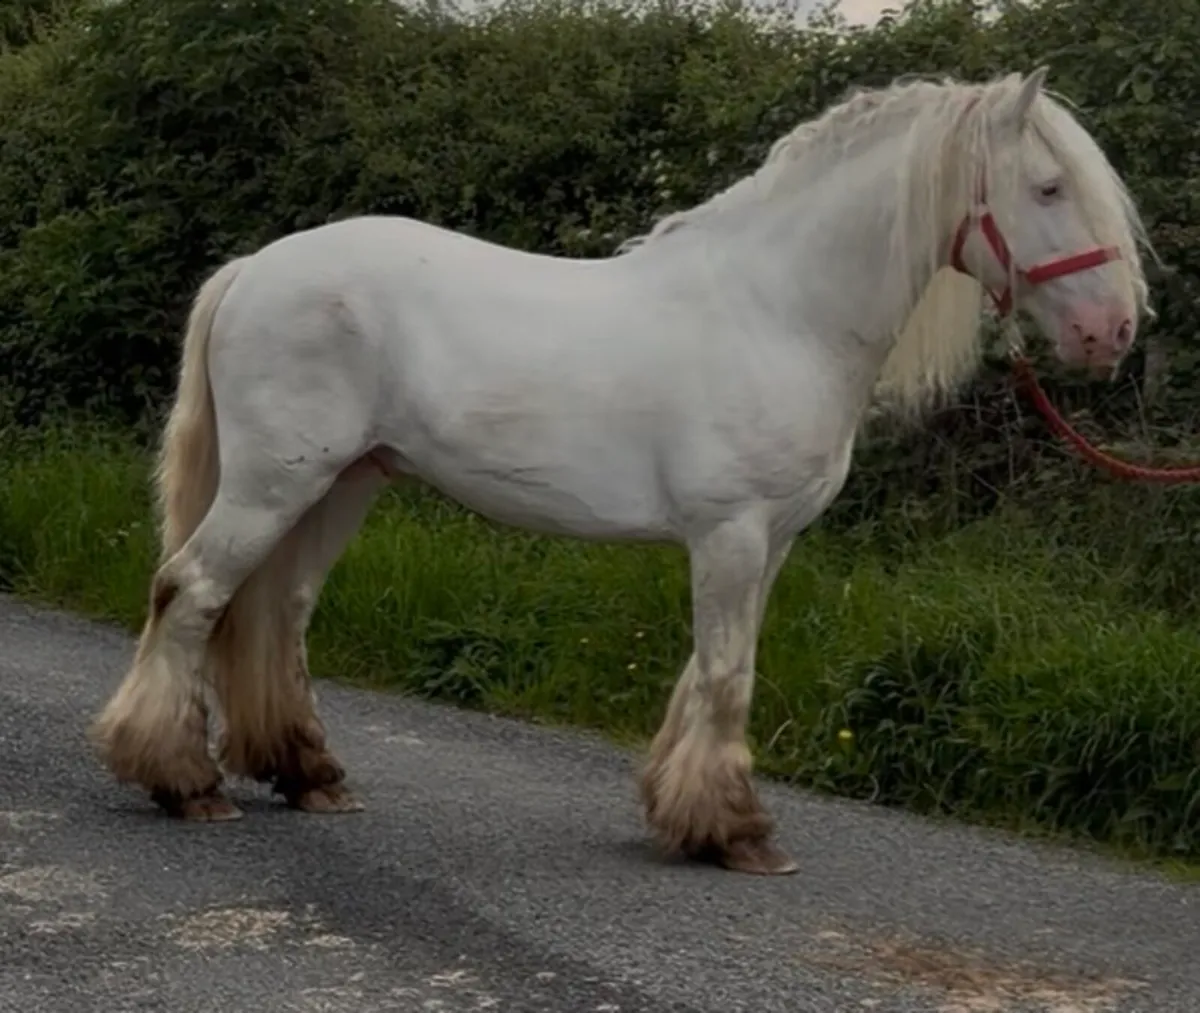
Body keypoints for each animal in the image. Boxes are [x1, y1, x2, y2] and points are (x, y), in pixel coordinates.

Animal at [90, 66, 1152, 877]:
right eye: (1049, 188)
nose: (1113, 333)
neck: (781, 311)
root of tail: (256, 268)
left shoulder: (765, 542)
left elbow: (706, 671)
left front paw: (686, 814)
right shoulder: (731, 532)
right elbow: (727, 672)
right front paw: (737, 833)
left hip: (343, 483)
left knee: (276, 611)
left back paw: (311, 777)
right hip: (274, 483)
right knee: (190, 590)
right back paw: (183, 784)